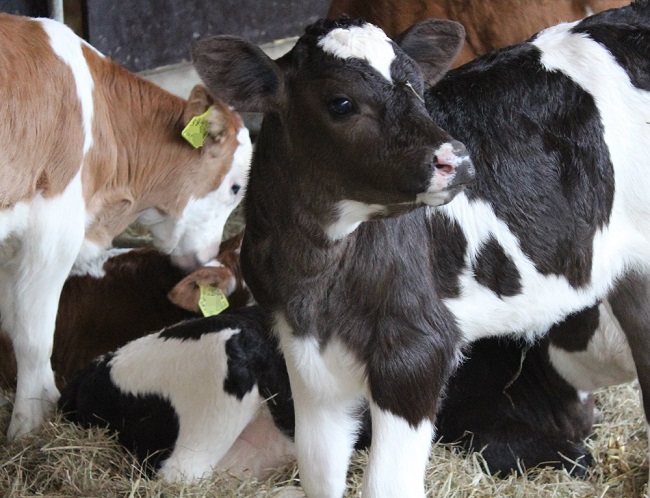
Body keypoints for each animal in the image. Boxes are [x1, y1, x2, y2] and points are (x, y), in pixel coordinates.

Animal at [192, 1, 650, 496]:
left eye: (416, 88)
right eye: (341, 102)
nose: (458, 159)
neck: (316, 276)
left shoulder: (416, 351)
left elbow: (387, 484)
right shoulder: (304, 352)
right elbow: (317, 469)